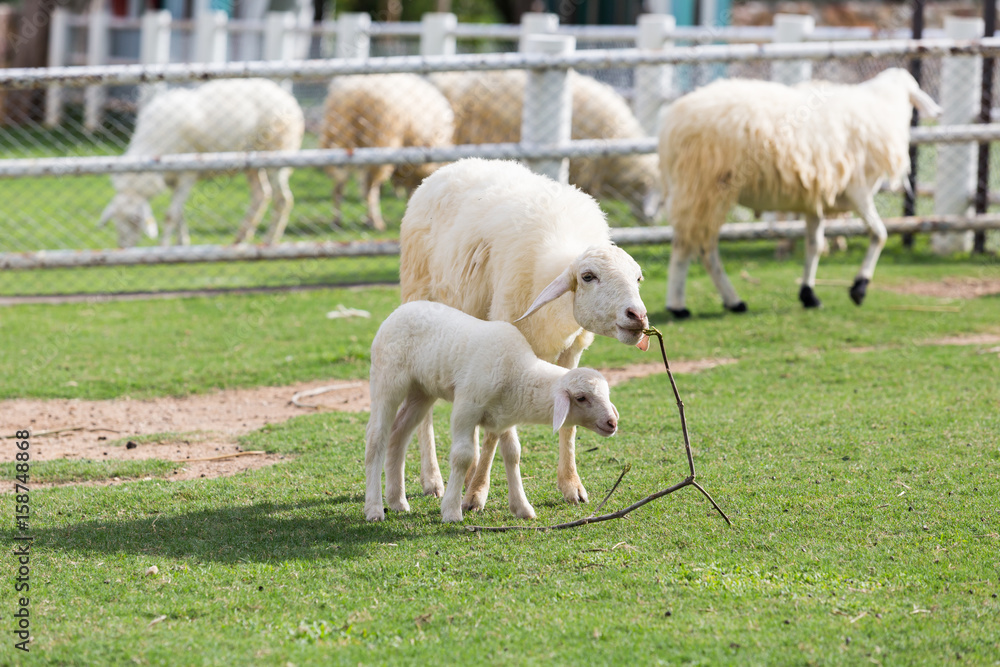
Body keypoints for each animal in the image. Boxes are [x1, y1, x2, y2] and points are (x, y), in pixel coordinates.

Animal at [99, 78, 304, 248]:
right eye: (116, 221)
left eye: (135, 221)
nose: (123, 248)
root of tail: (286, 96)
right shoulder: (172, 179)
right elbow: (179, 215)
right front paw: (181, 243)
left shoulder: (187, 175)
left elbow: (170, 215)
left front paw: (163, 247)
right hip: (251, 163)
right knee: (261, 195)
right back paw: (239, 239)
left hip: (276, 155)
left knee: (283, 199)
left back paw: (269, 240)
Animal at [319, 74, 455, 232]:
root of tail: (354, 93)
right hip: (379, 144)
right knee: (370, 188)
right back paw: (375, 221)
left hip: (339, 141)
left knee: (339, 185)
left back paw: (337, 221)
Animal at [365, 300, 620, 523]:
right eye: (581, 398)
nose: (612, 423)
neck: (518, 372)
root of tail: (400, 310)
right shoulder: (466, 407)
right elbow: (463, 456)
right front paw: (451, 511)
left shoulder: (505, 416)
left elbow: (513, 454)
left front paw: (522, 507)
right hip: (388, 380)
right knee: (376, 438)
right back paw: (375, 508)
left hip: (422, 391)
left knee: (398, 435)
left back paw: (397, 501)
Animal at [399, 158, 648, 512]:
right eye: (588, 276)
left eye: (638, 278)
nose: (637, 316)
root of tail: (455, 165)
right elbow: (502, 436)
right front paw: (476, 494)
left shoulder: (571, 352)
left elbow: (567, 425)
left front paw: (571, 486)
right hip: (421, 302)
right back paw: (432, 479)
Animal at [657, 67, 942, 317]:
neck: (882, 105)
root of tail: (671, 122)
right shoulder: (858, 191)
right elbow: (879, 234)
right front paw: (859, 288)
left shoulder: (815, 198)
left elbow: (814, 245)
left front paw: (809, 295)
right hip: (704, 186)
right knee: (691, 246)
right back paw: (682, 306)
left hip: (698, 189)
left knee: (699, 246)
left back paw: (728, 302)